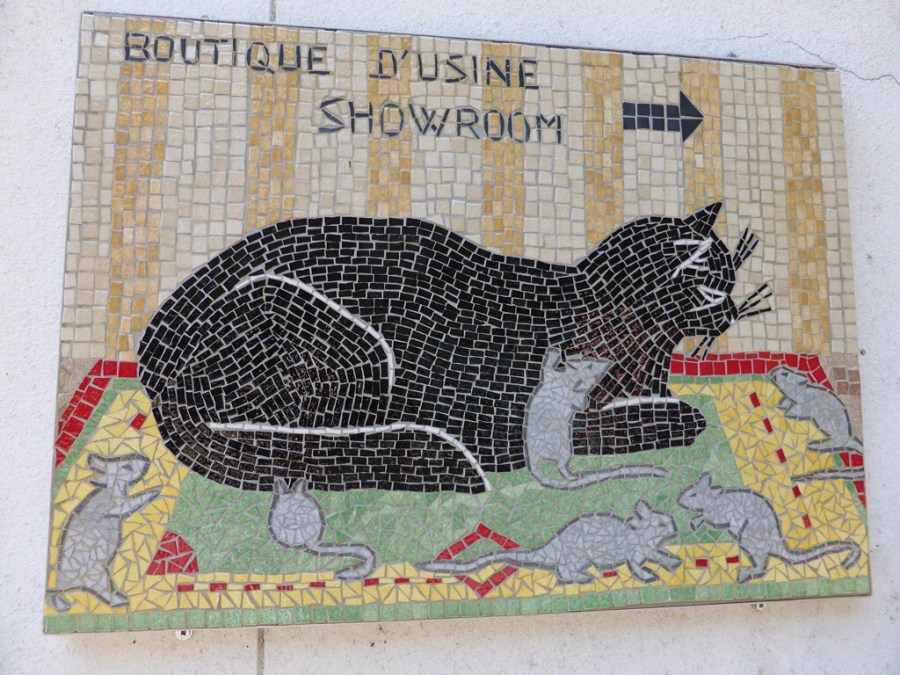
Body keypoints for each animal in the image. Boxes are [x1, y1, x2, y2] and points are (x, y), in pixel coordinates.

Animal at [138, 203, 770, 493]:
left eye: (733, 280)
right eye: (709, 284)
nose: (731, 309)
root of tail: (152, 357)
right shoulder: (499, 419)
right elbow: (669, 417)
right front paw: (662, 416)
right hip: (337, 339)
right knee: (308, 443)